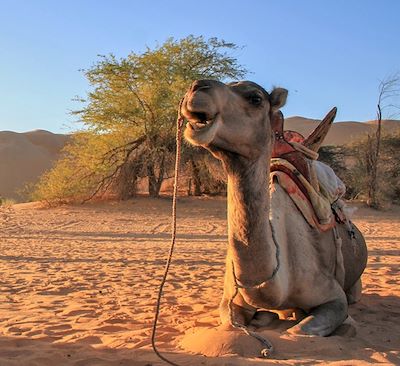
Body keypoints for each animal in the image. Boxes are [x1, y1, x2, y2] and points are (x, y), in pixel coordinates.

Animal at [180, 79, 368, 338]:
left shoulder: (333, 297)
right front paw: (265, 318)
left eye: (255, 98)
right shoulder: (230, 300)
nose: (196, 88)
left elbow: (300, 331)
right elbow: (231, 322)